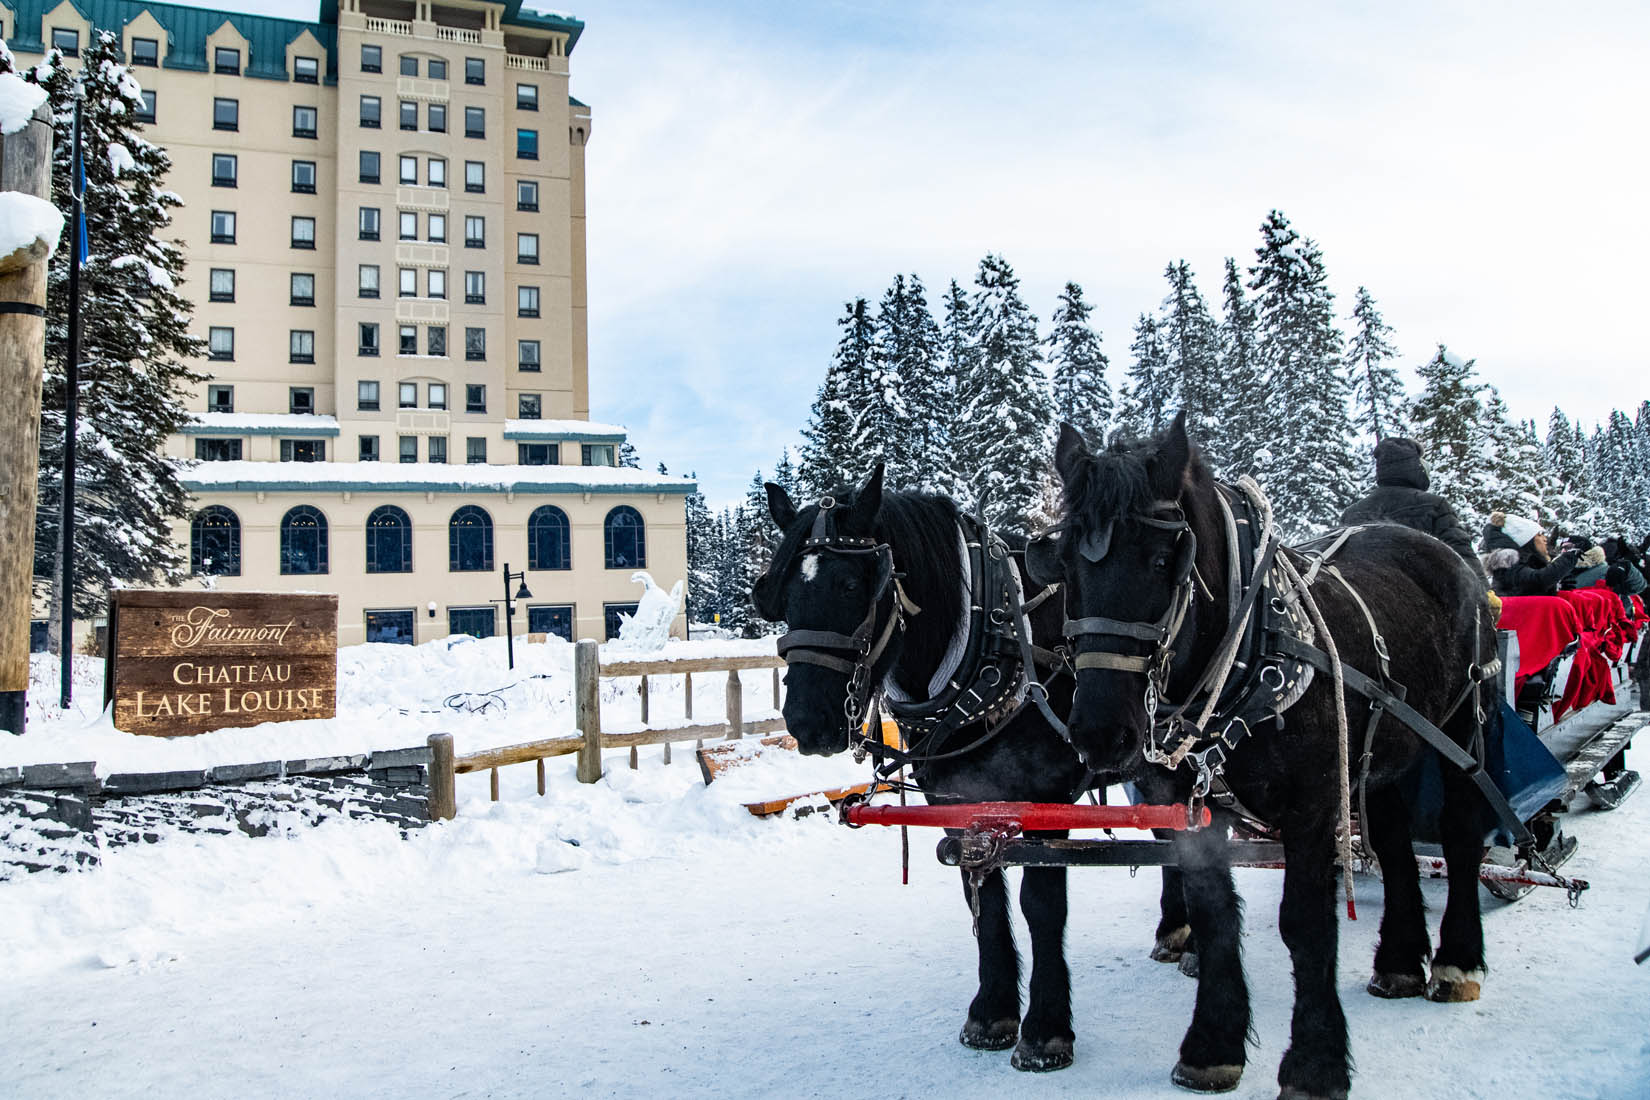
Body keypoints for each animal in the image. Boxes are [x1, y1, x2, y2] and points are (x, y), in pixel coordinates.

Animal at [755, 468, 1115, 1075]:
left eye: (852, 585)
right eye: (778, 595)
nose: (808, 722)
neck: (996, 646)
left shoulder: (1046, 800)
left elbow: (1041, 907)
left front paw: (1045, 1031)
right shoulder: (958, 803)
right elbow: (984, 902)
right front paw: (992, 1013)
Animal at [1036, 415, 1504, 1100]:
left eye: (1162, 559)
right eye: (1065, 564)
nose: (1100, 732)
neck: (1247, 650)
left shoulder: (1312, 804)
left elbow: (1305, 925)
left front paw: (1315, 1062)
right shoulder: (1190, 807)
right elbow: (1212, 913)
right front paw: (1213, 1044)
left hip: (1463, 729)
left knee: (1462, 833)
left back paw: (1455, 960)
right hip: (1383, 751)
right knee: (1394, 844)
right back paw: (1398, 961)